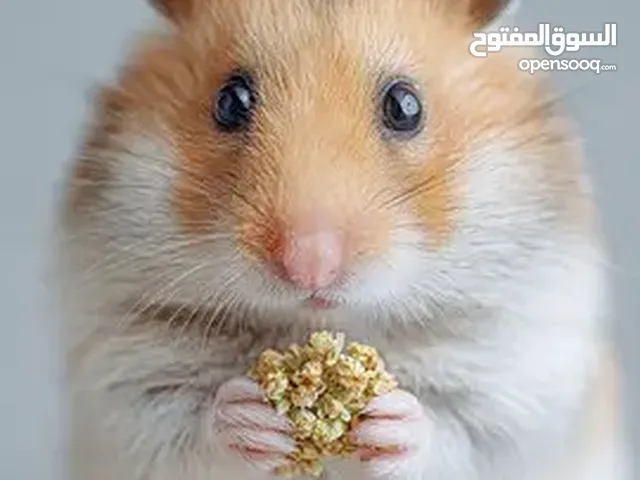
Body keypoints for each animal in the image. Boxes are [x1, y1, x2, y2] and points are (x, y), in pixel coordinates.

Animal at [55, 0, 629, 479]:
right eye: (231, 101)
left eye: (405, 105)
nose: (309, 266)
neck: (327, 327)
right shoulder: (122, 378)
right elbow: (184, 428)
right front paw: (250, 417)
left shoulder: (522, 376)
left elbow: (456, 434)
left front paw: (393, 423)